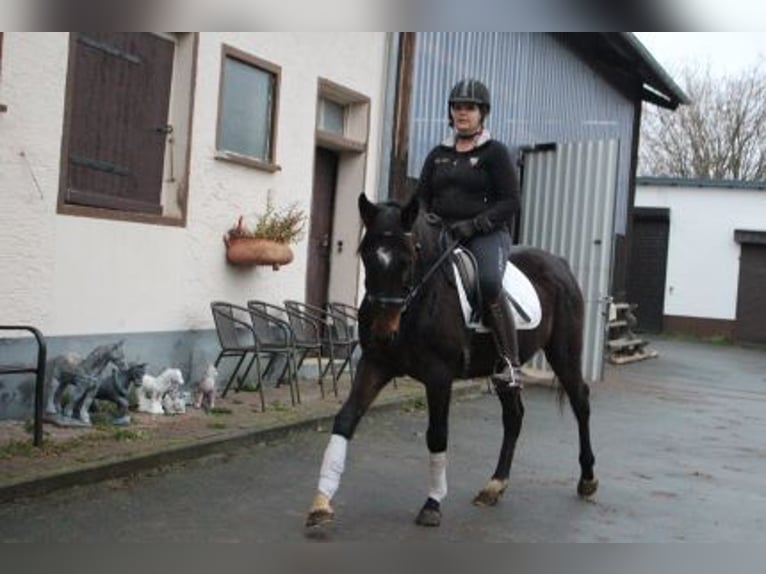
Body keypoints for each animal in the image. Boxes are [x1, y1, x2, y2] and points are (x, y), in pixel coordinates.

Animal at [308, 194, 600, 532]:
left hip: (564, 353)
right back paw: (494, 486)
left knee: (580, 401)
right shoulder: (376, 364)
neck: (418, 303)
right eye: (367, 256)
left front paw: (432, 504)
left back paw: (587, 479)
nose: (383, 333)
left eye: (407, 260)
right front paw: (321, 503)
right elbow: (346, 419)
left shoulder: (439, 376)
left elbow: (437, 435)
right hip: (501, 370)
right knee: (514, 416)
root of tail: (559, 263)